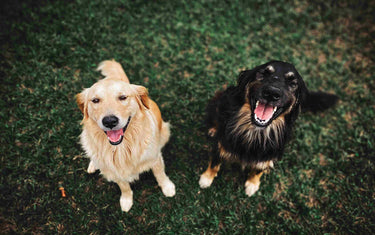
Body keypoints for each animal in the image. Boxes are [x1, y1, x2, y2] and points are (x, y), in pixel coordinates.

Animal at [77, 59, 176, 212]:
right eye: (95, 100)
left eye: (123, 97)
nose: (109, 121)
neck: (121, 148)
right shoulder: (116, 171)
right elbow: (124, 187)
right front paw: (126, 200)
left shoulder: (155, 158)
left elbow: (160, 175)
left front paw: (167, 188)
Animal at [201, 60, 340, 196]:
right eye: (264, 73)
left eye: (292, 82)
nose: (272, 93)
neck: (256, 131)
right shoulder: (221, 144)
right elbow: (214, 163)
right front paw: (206, 179)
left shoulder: (268, 155)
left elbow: (258, 169)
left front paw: (252, 184)